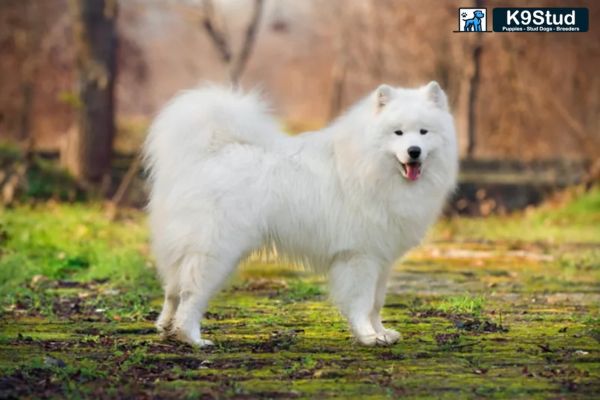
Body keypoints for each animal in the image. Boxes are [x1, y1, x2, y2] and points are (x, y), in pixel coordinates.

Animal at [145, 82, 460, 346]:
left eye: (424, 132)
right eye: (398, 133)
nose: (414, 151)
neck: (371, 166)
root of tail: (209, 153)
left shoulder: (382, 259)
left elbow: (376, 303)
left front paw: (382, 332)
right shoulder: (359, 256)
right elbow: (362, 302)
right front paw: (368, 337)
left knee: (173, 288)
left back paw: (166, 328)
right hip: (215, 250)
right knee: (191, 294)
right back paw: (192, 338)